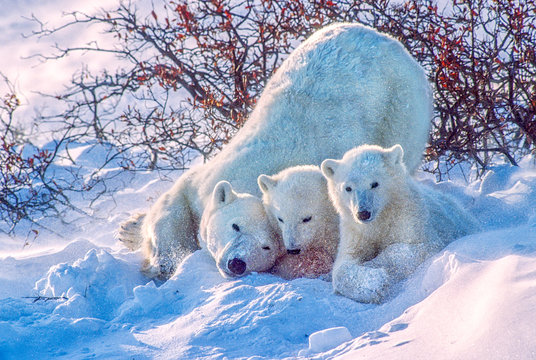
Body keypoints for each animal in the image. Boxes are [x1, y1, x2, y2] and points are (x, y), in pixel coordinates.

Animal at [116, 21, 432, 278]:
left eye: (267, 246)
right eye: (236, 226)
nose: (237, 263)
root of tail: (390, 40)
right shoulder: (214, 173)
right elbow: (175, 204)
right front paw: (152, 248)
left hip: (401, 110)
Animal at [320, 143, 480, 304]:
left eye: (374, 184)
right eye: (348, 188)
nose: (363, 213)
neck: (382, 216)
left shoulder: (409, 218)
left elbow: (414, 247)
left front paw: (376, 273)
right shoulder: (355, 231)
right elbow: (344, 263)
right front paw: (372, 284)